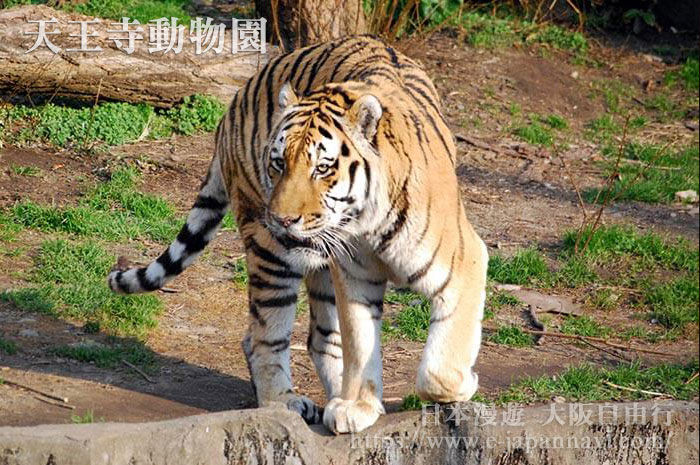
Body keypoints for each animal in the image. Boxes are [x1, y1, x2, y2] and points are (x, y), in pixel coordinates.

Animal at [108, 34, 486, 434]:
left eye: (322, 168)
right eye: (279, 163)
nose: (282, 219)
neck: (366, 223)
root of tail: (235, 99)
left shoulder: (464, 260)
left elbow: (436, 369)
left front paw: (459, 384)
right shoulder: (354, 275)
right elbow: (359, 341)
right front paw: (358, 405)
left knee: (316, 339)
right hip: (271, 253)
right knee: (263, 338)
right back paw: (284, 401)